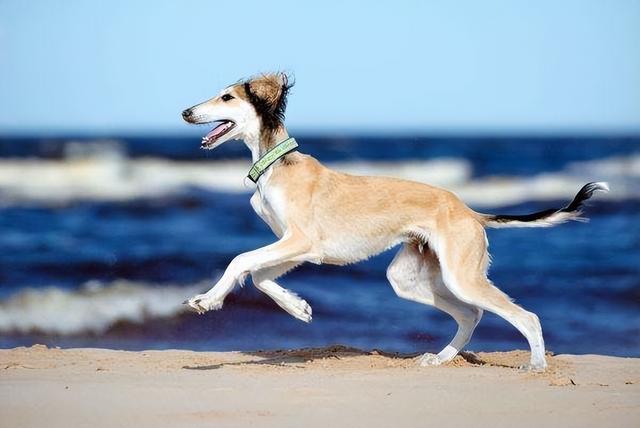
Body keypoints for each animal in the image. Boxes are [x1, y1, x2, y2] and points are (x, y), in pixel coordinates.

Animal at [181, 72, 608, 370]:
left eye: (227, 96)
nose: (185, 112)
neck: (276, 165)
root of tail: (468, 210)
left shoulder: (300, 240)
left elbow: (241, 262)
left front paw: (206, 300)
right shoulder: (298, 247)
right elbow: (259, 277)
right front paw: (298, 308)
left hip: (461, 276)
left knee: (523, 315)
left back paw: (536, 365)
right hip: (409, 278)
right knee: (470, 314)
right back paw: (441, 358)